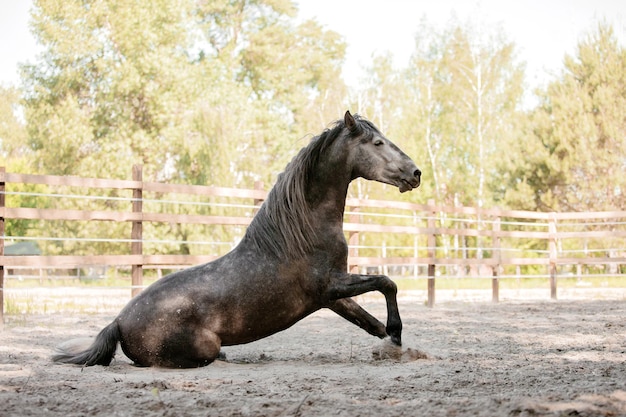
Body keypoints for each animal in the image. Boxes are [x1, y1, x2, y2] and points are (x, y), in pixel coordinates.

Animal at [52, 110, 420, 368]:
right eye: (377, 143)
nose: (415, 173)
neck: (303, 232)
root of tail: (117, 321)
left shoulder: (332, 297)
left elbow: (370, 322)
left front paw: (393, 342)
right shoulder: (330, 287)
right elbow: (387, 283)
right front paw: (396, 334)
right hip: (203, 346)